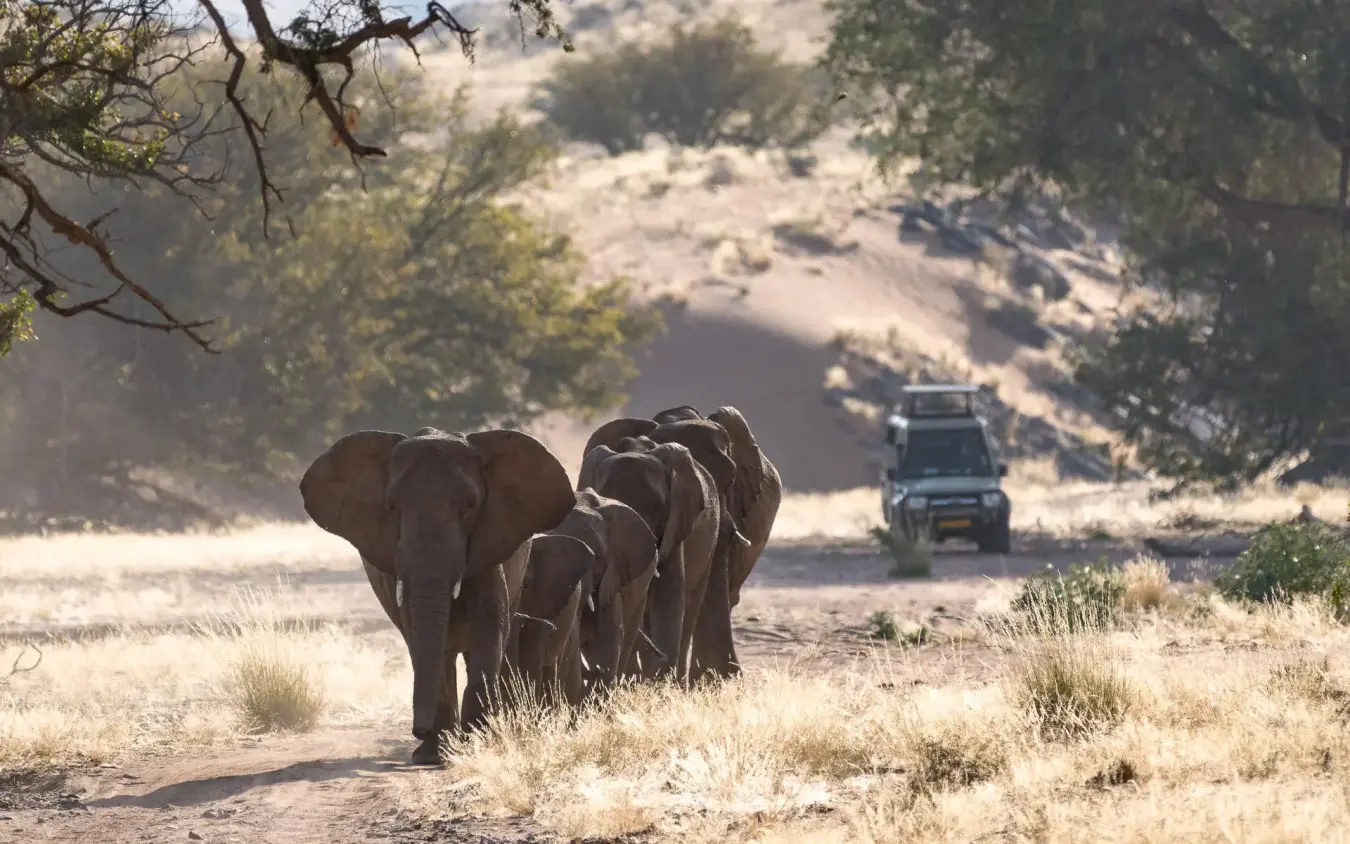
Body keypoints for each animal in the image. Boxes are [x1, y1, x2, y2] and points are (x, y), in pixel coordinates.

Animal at [298, 426, 576, 765]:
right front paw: (433, 756)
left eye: (470, 506)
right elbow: (421, 636)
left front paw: (476, 744)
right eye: (392, 507)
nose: (418, 730)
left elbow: (489, 624)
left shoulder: (489, 546)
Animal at [578, 436, 720, 682]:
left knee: (690, 610)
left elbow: (669, 597)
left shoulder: (676, 524)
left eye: (656, 508)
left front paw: (661, 683)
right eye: (604, 498)